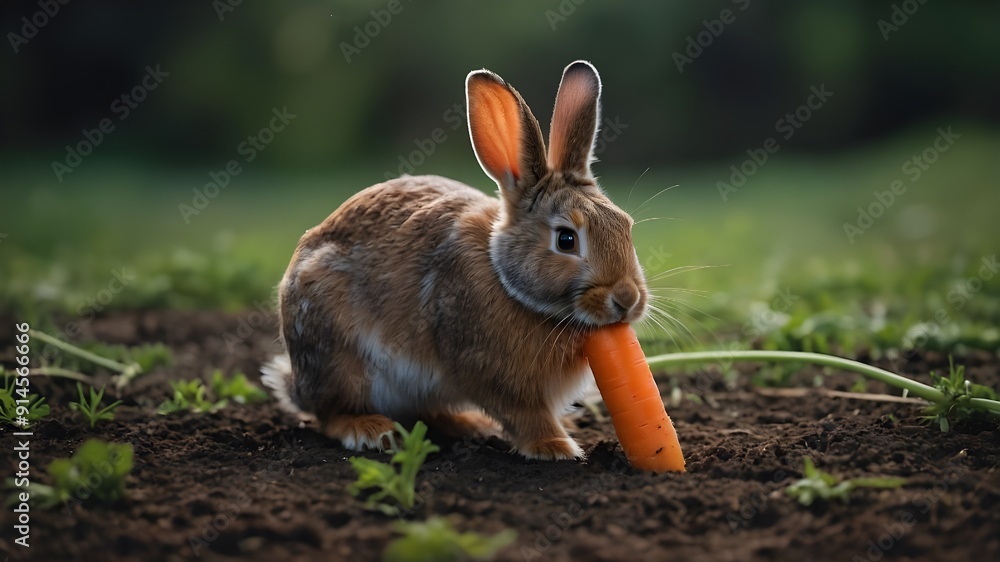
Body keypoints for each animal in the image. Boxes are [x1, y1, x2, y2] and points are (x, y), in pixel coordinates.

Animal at [261, 60, 648, 461]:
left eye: (626, 226)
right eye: (566, 239)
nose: (628, 299)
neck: (506, 280)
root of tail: (295, 383)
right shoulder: (489, 373)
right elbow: (525, 416)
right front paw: (556, 447)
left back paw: (470, 425)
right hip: (340, 360)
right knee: (331, 414)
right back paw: (371, 431)